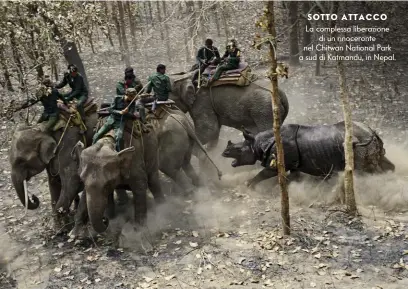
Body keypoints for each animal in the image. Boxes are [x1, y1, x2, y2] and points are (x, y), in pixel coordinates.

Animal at [222, 120, 396, 188]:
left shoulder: (277, 163)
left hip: (360, 146)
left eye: (238, 150)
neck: (258, 143)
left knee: (365, 170)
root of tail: (372, 132)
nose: (224, 153)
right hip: (368, 142)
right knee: (383, 163)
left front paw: (248, 186)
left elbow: (264, 173)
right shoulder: (294, 164)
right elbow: (293, 177)